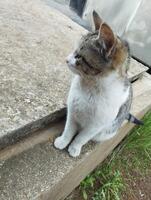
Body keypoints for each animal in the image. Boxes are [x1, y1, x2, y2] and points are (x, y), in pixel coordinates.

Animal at [54, 11, 143, 158]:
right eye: (74, 51)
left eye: (79, 56)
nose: (66, 59)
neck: (89, 86)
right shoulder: (72, 112)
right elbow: (68, 130)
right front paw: (63, 141)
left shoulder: (95, 126)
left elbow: (81, 137)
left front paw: (74, 147)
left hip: (104, 132)